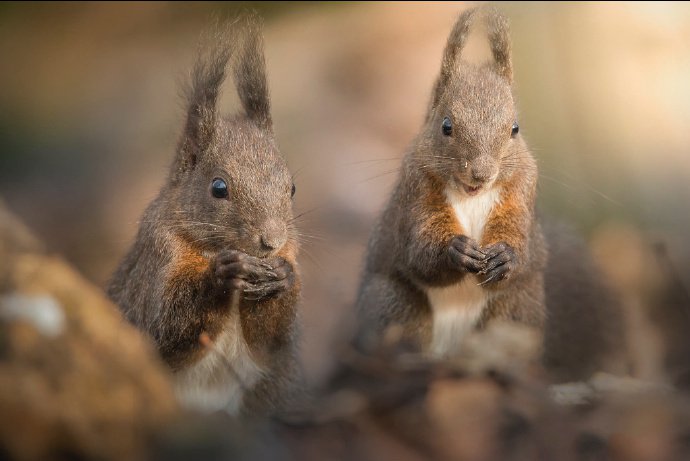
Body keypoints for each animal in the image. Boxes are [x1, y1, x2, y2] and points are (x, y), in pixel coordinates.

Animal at [107, 16, 300, 416]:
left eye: (291, 188)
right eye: (219, 188)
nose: (272, 241)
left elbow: (271, 343)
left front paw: (282, 276)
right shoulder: (155, 264)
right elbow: (166, 329)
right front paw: (220, 276)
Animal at [354, 7, 624, 380]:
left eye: (515, 128)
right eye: (446, 126)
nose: (481, 174)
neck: (471, 196)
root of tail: (453, 356)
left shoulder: (522, 191)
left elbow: (519, 238)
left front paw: (505, 257)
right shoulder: (416, 190)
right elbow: (419, 248)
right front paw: (454, 250)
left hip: (517, 310)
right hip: (392, 304)